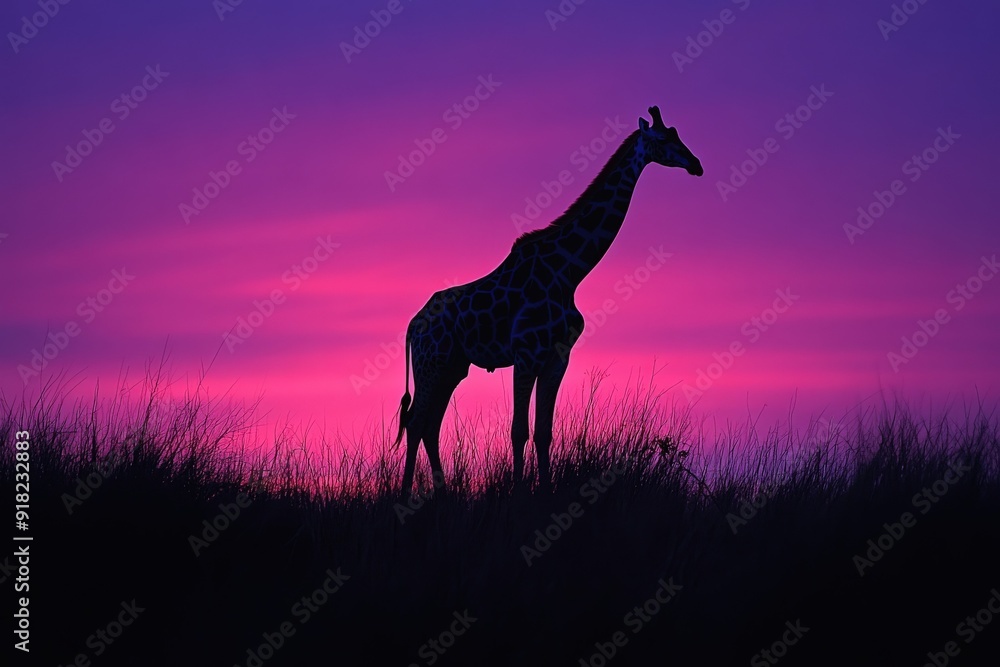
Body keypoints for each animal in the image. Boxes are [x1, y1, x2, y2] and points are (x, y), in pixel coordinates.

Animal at [393, 105, 702, 494]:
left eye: (678, 134)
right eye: (662, 139)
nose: (696, 164)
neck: (569, 272)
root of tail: (413, 324)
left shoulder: (557, 357)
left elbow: (543, 433)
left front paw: (542, 490)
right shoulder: (526, 355)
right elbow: (519, 431)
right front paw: (519, 492)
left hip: (451, 367)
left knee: (430, 424)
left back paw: (441, 495)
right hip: (430, 363)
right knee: (416, 421)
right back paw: (405, 495)